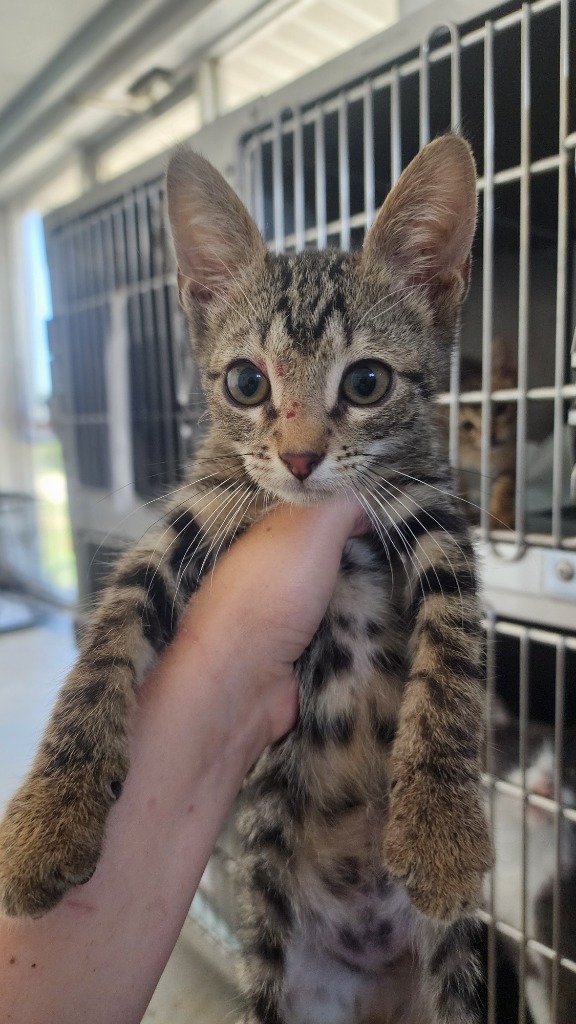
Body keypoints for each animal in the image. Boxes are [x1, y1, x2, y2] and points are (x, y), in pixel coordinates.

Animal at [1, 136, 494, 1024]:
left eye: (366, 382)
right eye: (246, 382)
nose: (299, 459)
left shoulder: (435, 516)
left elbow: (452, 662)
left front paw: (441, 831)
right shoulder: (193, 516)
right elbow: (105, 643)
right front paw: (46, 821)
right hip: (274, 962)